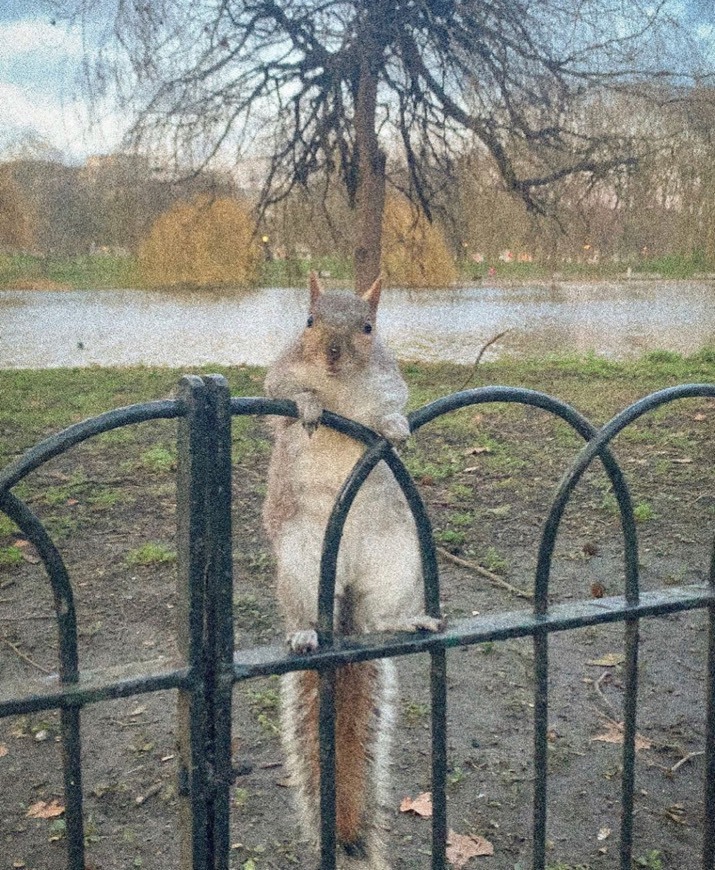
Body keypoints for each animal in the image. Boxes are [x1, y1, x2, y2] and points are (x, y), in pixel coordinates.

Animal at [262, 274, 442, 870]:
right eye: (309, 321)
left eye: (368, 327)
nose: (334, 355)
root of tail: (341, 594)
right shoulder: (278, 379)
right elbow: (286, 405)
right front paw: (311, 403)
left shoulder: (388, 386)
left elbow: (390, 410)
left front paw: (396, 427)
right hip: (300, 564)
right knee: (302, 612)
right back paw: (303, 632)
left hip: (397, 561)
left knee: (383, 617)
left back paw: (408, 621)